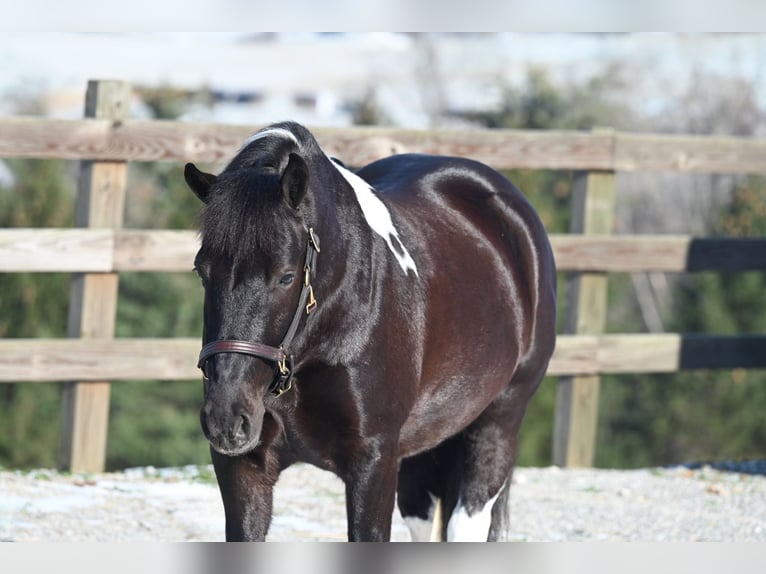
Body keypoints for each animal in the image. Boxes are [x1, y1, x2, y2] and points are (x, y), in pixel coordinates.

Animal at [186, 121, 560, 544]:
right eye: (202, 270)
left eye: (286, 276)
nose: (227, 416)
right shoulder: (244, 468)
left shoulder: (374, 461)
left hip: (496, 424)